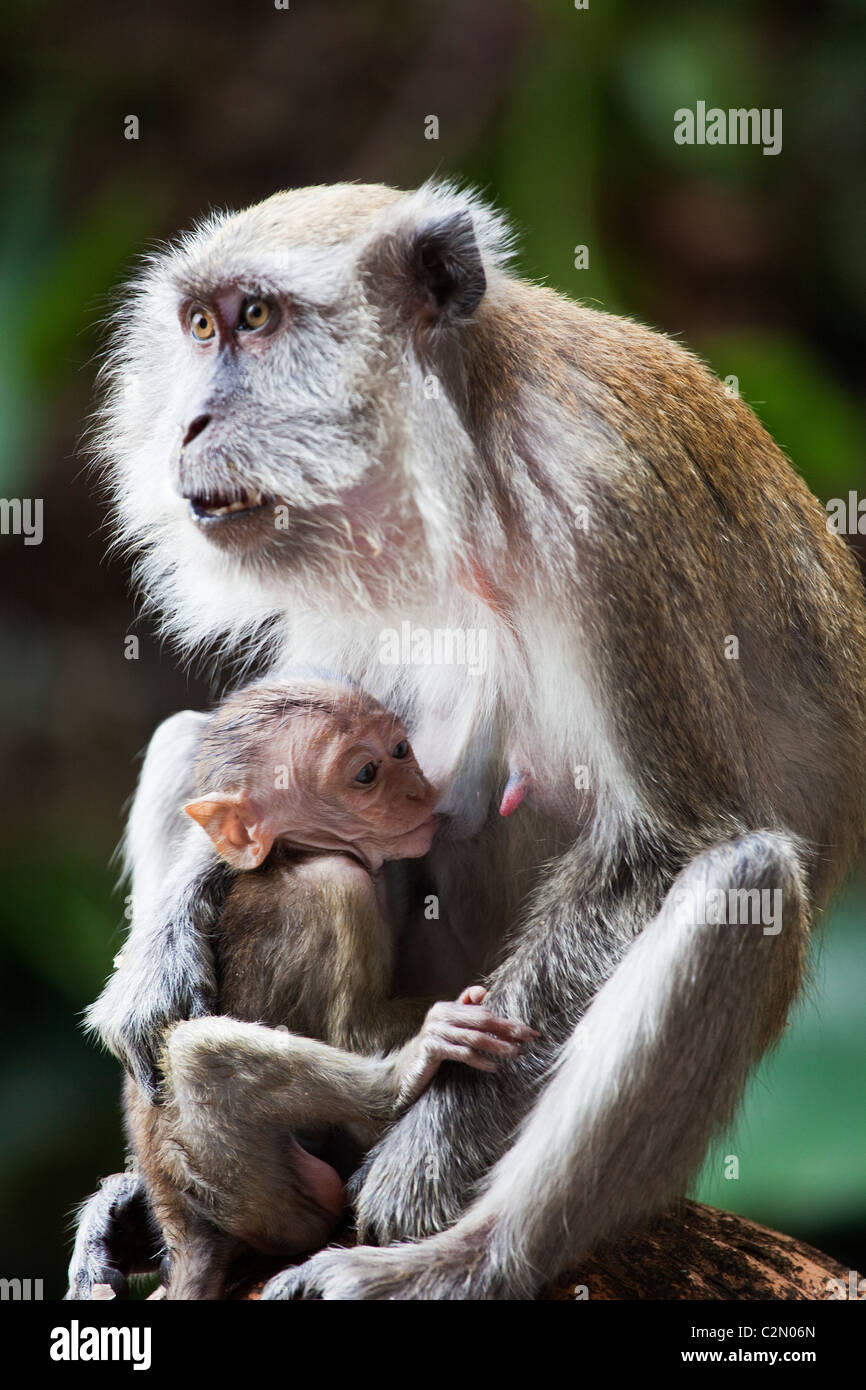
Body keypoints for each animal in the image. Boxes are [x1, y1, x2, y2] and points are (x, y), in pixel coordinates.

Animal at [77, 179, 861, 1295]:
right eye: (198, 327)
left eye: (255, 318)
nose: (187, 422)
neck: (456, 465)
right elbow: (250, 741)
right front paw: (161, 952)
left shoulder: (604, 513)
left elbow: (667, 838)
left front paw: (422, 1162)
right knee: (183, 740)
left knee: (738, 877)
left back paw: (462, 1260)